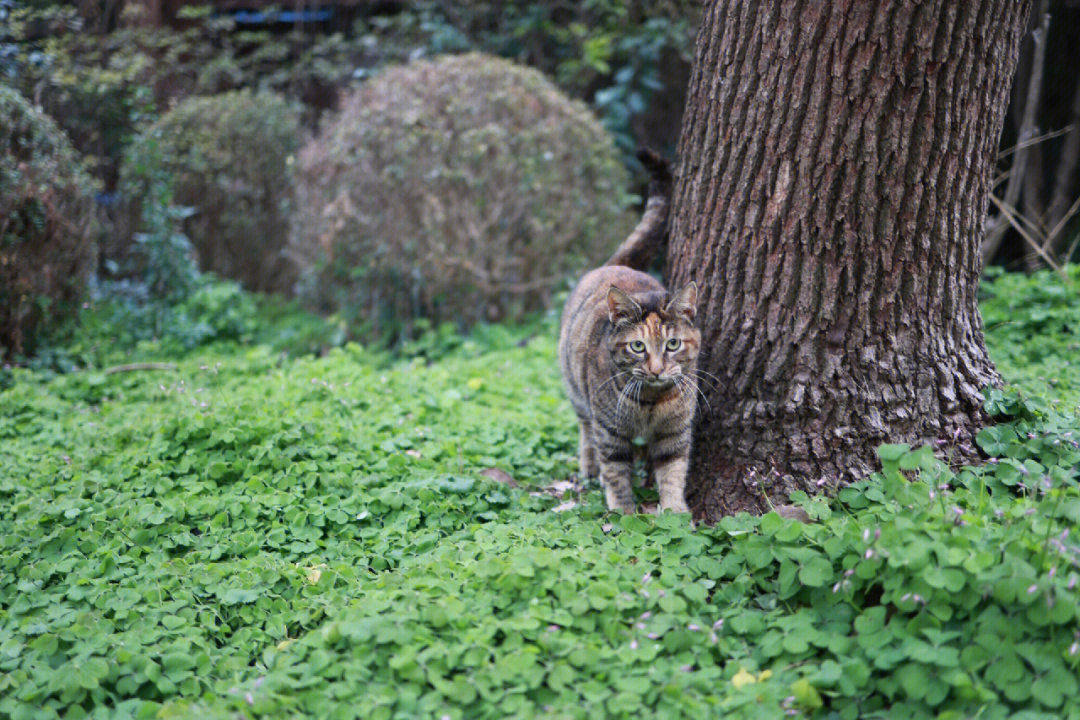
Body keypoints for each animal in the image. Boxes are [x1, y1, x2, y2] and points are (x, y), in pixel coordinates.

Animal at [561, 151, 704, 511]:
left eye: (672, 344)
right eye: (638, 347)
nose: (655, 369)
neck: (652, 402)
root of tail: (615, 264)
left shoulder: (675, 433)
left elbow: (673, 471)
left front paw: (675, 510)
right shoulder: (610, 431)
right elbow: (616, 473)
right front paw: (623, 511)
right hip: (577, 393)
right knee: (585, 431)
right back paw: (590, 468)